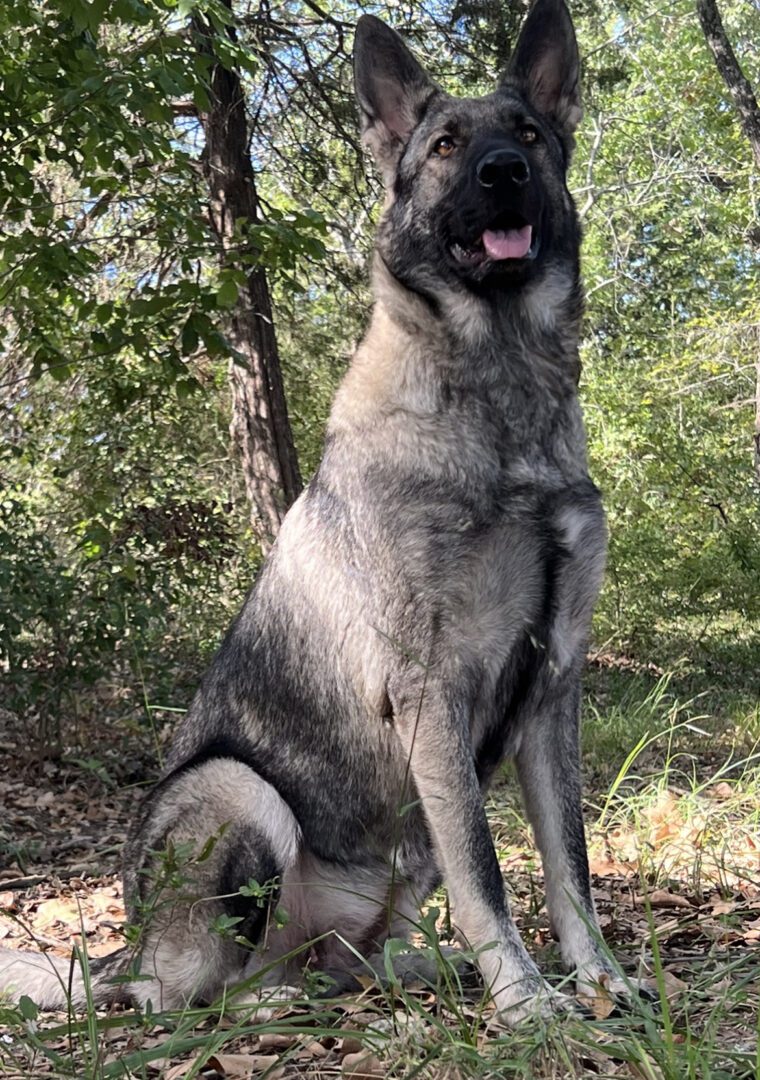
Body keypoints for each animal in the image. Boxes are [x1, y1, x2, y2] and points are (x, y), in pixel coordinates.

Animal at [1, 0, 630, 1019]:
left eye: (530, 136)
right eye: (447, 146)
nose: (503, 173)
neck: (497, 387)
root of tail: (123, 955)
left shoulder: (552, 689)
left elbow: (568, 865)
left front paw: (601, 980)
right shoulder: (433, 694)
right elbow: (487, 872)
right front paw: (529, 1003)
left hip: (393, 865)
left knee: (346, 958)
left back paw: (405, 972)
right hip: (236, 792)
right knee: (201, 990)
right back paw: (271, 1002)